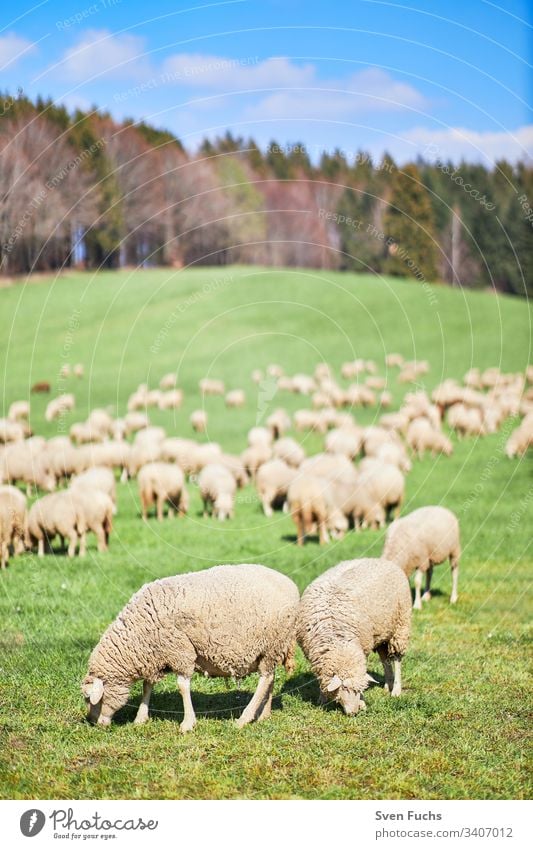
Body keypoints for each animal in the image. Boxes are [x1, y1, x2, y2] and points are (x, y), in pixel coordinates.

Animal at [83, 560, 300, 732]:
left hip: (272, 643)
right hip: (271, 649)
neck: (139, 631)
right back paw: (264, 715)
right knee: (270, 677)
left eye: (89, 698)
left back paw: (244, 719)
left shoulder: (179, 650)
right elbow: (147, 685)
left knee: (265, 679)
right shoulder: (157, 654)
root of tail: (289, 583)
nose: (92, 723)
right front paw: (141, 718)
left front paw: (187, 723)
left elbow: (182, 686)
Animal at [298, 560, 410, 712]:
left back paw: (396, 690)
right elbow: (322, 677)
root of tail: (384, 561)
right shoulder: (317, 655)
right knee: (385, 659)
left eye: (358, 689)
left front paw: (362, 702)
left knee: (397, 659)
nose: (354, 712)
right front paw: (322, 698)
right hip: (382, 632)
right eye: (344, 687)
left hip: (400, 626)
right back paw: (388, 685)